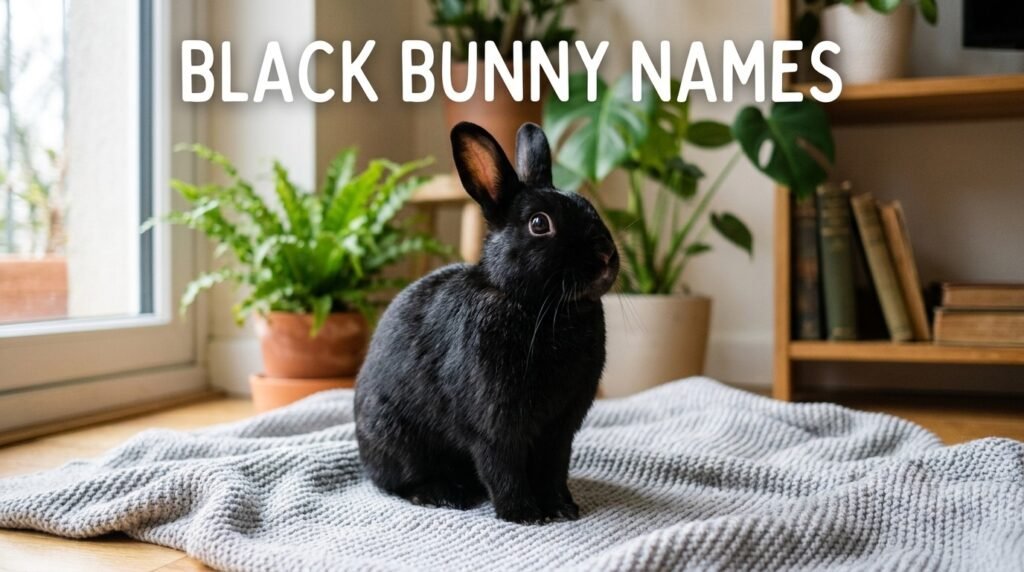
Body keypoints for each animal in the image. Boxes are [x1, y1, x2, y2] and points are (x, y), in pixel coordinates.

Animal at [354, 121, 619, 524]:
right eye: (539, 224)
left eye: (589, 206)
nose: (606, 257)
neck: (536, 305)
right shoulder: (495, 423)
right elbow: (502, 466)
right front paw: (524, 514)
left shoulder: (560, 429)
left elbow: (553, 468)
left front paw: (562, 509)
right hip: (398, 438)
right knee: (399, 481)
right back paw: (442, 494)